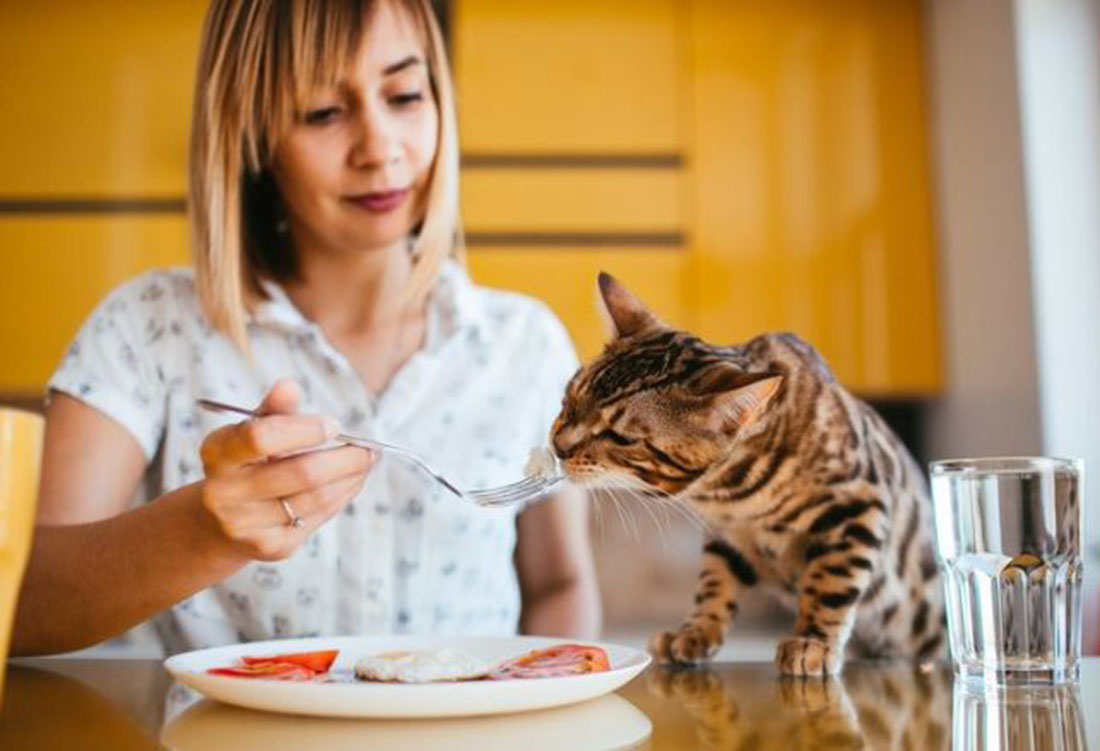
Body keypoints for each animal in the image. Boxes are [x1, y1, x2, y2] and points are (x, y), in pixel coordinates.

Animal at [550, 274, 946, 677]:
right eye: (569, 398)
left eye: (621, 438)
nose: (558, 447)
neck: (729, 493)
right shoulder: (727, 534)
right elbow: (715, 583)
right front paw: (695, 632)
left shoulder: (858, 504)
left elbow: (832, 582)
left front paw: (813, 640)